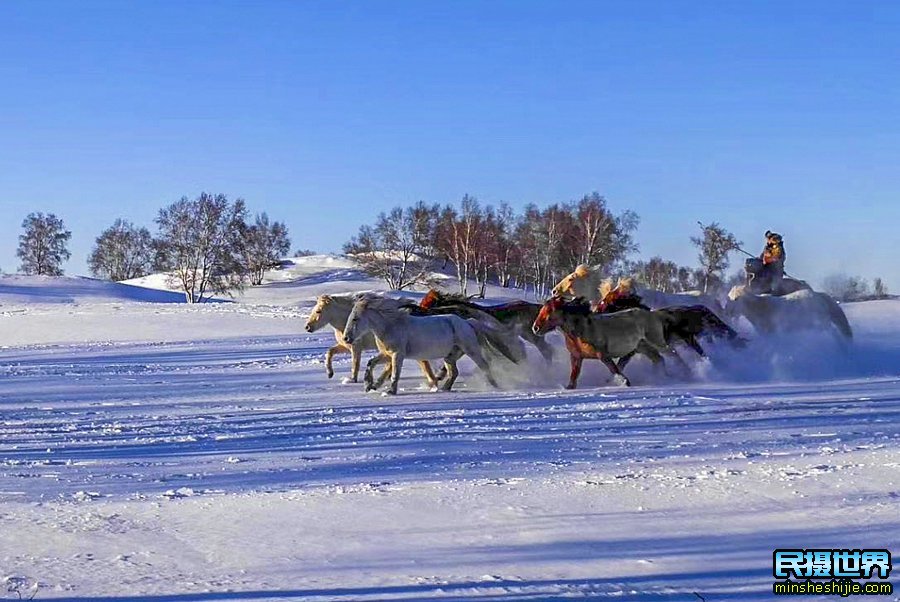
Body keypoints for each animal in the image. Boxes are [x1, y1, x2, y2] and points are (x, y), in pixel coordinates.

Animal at [532, 296, 680, 390]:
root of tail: (654, 314)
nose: (535, 328)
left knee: (673, 354)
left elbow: (614, 369)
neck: (582, 331)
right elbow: (574, 375)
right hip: (643, 347)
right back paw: (660, 376)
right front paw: (568, 387)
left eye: (550, 310)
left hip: (657, 342)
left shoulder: (603, 355)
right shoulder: (576, 357)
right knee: (658, 359)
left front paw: (625, 382)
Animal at [724, 284, 852, 338]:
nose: (727, 312)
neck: (761, 308)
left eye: (736, 299)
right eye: (728, 297)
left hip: (822, 324)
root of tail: (818, 295)